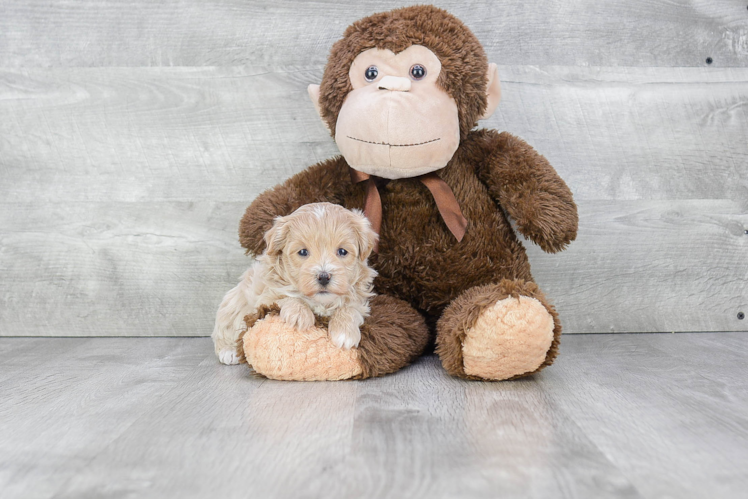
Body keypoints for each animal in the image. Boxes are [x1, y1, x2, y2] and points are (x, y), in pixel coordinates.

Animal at [212, 202, 376, 364]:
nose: (324, 277)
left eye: (342, 251)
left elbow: (349, 308)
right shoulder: (265, 296)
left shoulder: (359, 299)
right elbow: (286, 296)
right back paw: (229, 351)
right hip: (233, 304)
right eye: (303, 252)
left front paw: (344, 333)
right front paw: (299, 315)